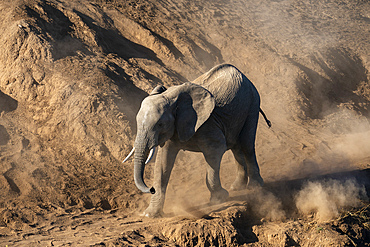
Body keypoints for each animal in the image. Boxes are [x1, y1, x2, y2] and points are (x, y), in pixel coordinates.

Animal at [123, 64, 270, 218]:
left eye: (160, 124)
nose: (151, 189)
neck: (172, 99)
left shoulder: (207, 124)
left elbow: (216, 150)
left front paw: (220, 199)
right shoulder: (175, 128)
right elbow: (163, 163)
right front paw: (149, 215)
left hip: (253, 102)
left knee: (247, 144)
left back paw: (254, 186)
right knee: (236, 146)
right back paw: (237, 187)